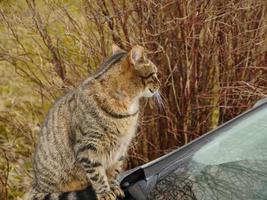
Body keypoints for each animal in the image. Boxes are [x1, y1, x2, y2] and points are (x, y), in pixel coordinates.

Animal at [25, 45, 160, 200]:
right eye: (154, 74)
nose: (159, 84)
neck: (127, 107)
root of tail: (36, 186)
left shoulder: (120, 149)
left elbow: (113, 173)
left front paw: (115, 188)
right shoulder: (88, 148)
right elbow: (98, 176)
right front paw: (105, 193)